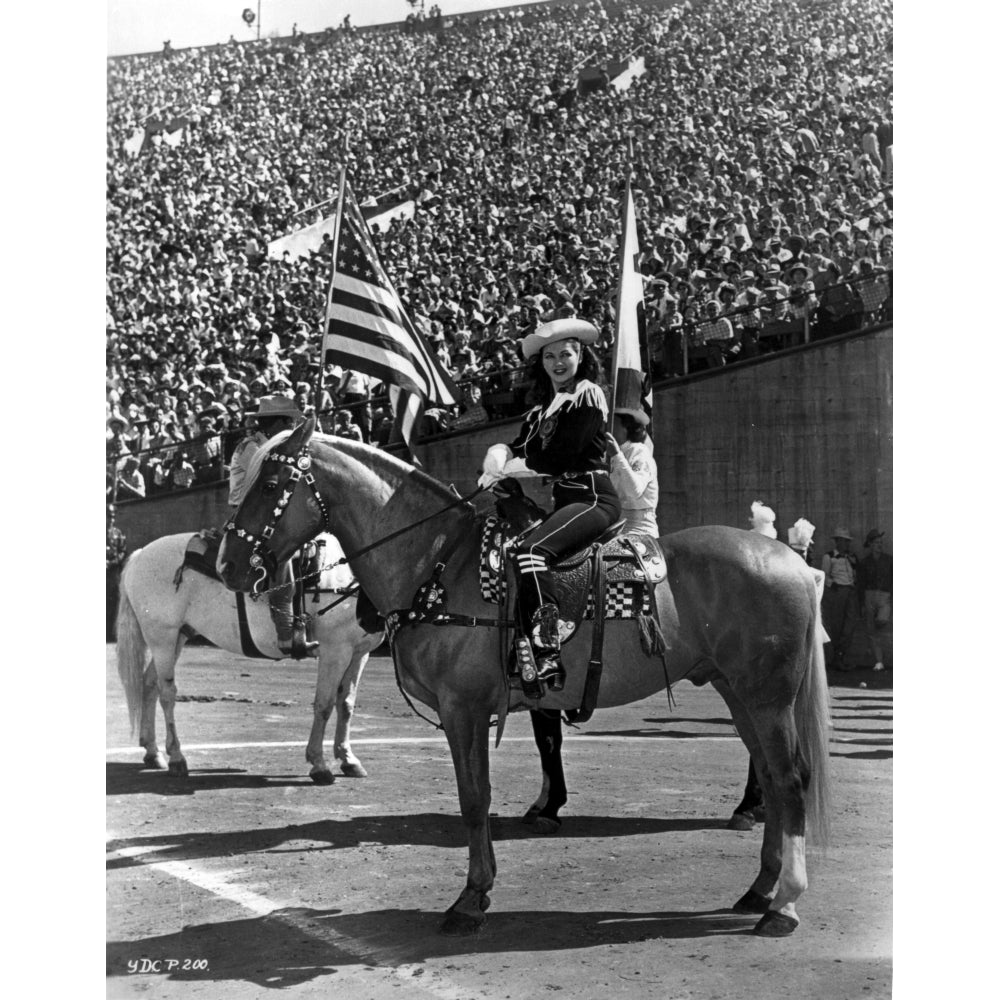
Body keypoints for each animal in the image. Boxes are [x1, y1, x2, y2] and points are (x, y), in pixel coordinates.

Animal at [115, 532, 384, 780]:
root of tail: (140, 554)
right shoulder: (335, 651)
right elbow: (324, 705)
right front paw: (319, 764)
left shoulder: (358, 653)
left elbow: (346, 704)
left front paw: (348, 759)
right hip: (162, 638)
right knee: (166, 693)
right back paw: (176, 758)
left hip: (177, 637)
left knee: (149, 684)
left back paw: (153, 752)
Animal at [221, 424, 836, 936]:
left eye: (270, 482)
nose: (228, 564)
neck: (442, 566)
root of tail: (789, 557)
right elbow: (481, 793)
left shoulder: (464, 709)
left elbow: (474, 800)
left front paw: (471, 899)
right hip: (738, 692)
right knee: (772, 782)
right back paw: (760, 889)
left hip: (768, 696)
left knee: (790, 781)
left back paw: (784, 904)